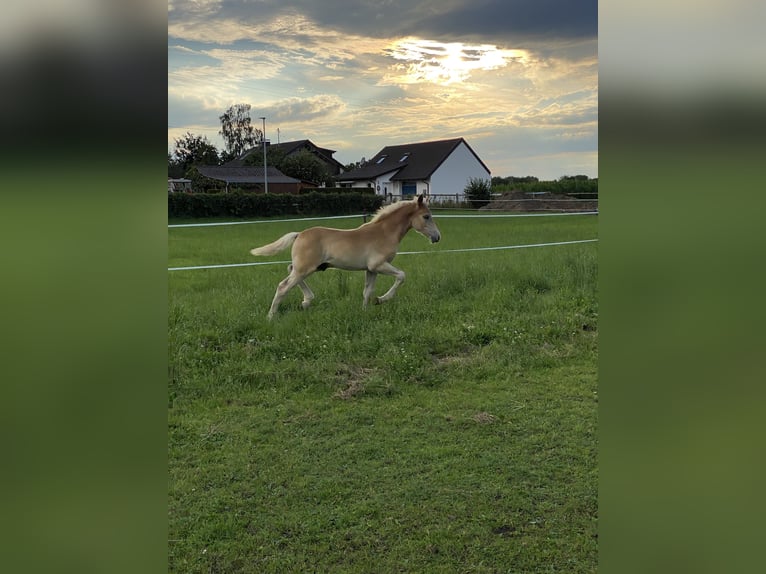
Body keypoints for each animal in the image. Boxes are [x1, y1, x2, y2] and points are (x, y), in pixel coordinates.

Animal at [252, 196, 444, 322]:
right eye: (426, 216)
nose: (437, 237)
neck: (384, 233)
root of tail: (299, 234)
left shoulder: (371, 269)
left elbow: (367, 291)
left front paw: (365, 311)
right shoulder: (379, 265)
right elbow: (401, 276)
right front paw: (381, 300)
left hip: (308, 268)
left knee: (289, 271)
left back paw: (306, 300)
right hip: (305, 268)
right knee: (283, 286)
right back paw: (271, 316)